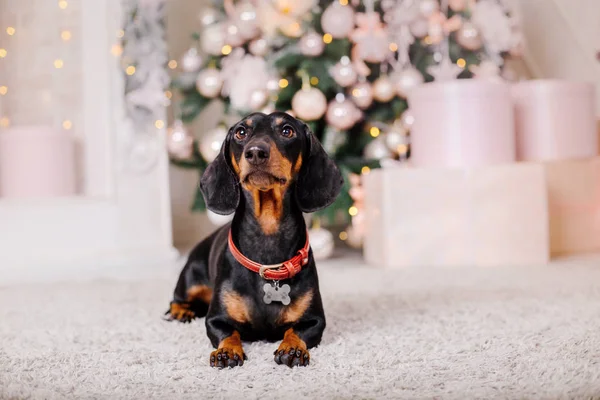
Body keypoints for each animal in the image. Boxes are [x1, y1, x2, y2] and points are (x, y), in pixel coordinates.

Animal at [165, 111, 342, 368]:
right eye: (241, 132)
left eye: (287, 130)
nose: (256, 152)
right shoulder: (215, 319)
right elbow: (228, 332)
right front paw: (227, 351)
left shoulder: (315, 320)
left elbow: (296, 331)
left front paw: (292, 348)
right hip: (190, 279)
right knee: (177, 299)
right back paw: (181, 311)